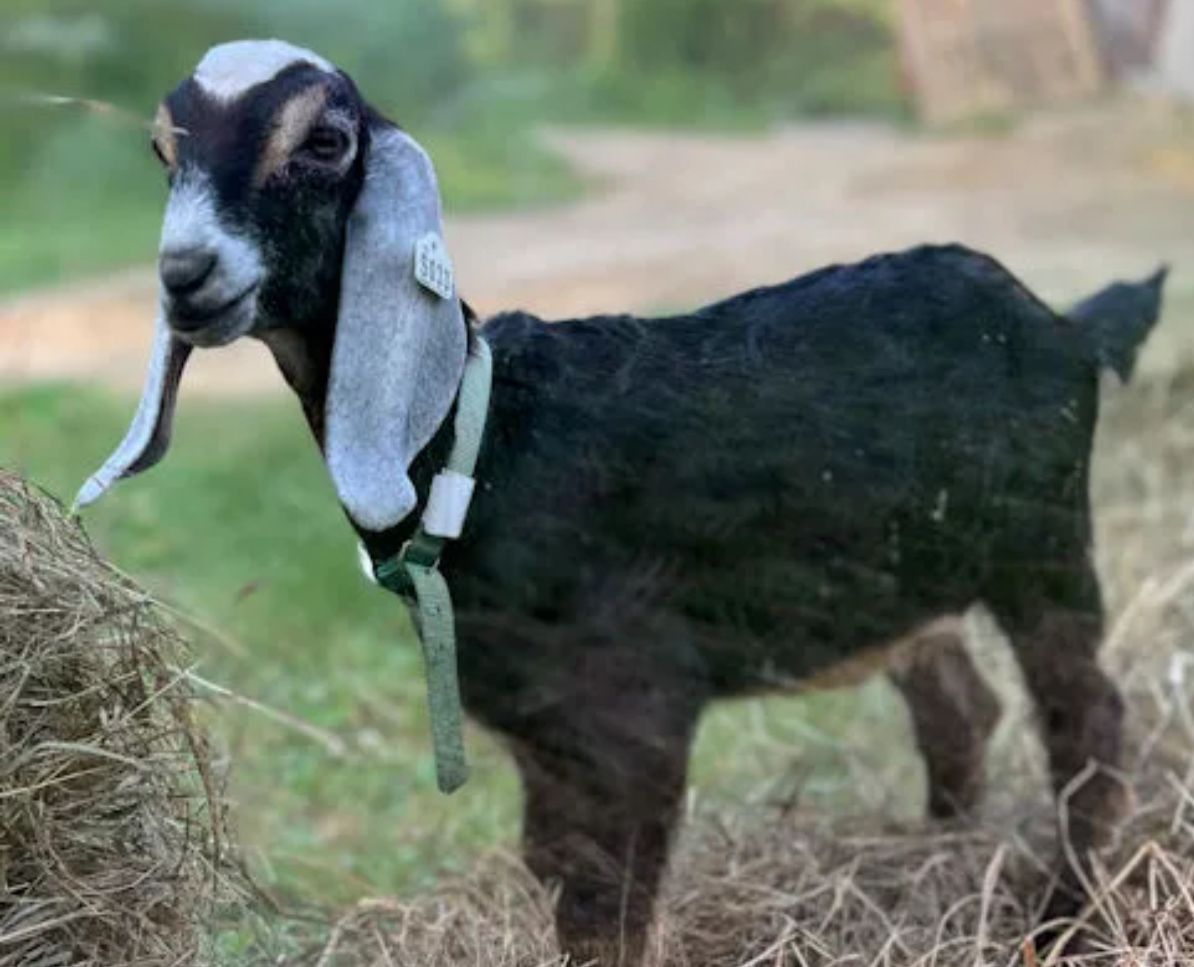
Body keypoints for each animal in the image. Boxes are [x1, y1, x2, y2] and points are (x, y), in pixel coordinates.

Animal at [76, 42, 1166, 964]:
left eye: (325, 142)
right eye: (162, 151)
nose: (187, 275)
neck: (484, 433)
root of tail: (1065, 324)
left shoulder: (632, 709)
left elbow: (610, 899)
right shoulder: (544, 735)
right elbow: (560, 873)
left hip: (1043, 548)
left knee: (1088, 716)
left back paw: (1066, 919)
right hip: (904, 577)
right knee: (961, 705)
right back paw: (939, 849)